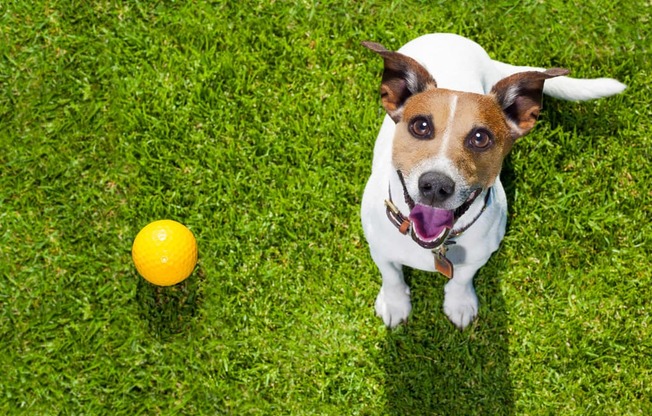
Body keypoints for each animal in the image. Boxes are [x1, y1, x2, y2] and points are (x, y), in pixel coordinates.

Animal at [362, 33, 628, 328]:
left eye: (480, 138)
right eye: (420, 126)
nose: (436, 185)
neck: (437, 245)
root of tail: (450, 37)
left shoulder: (479, 256)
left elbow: (462, 279)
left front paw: (459, 303)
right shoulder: (378, 248)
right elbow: (391, 276)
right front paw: (395, 303)